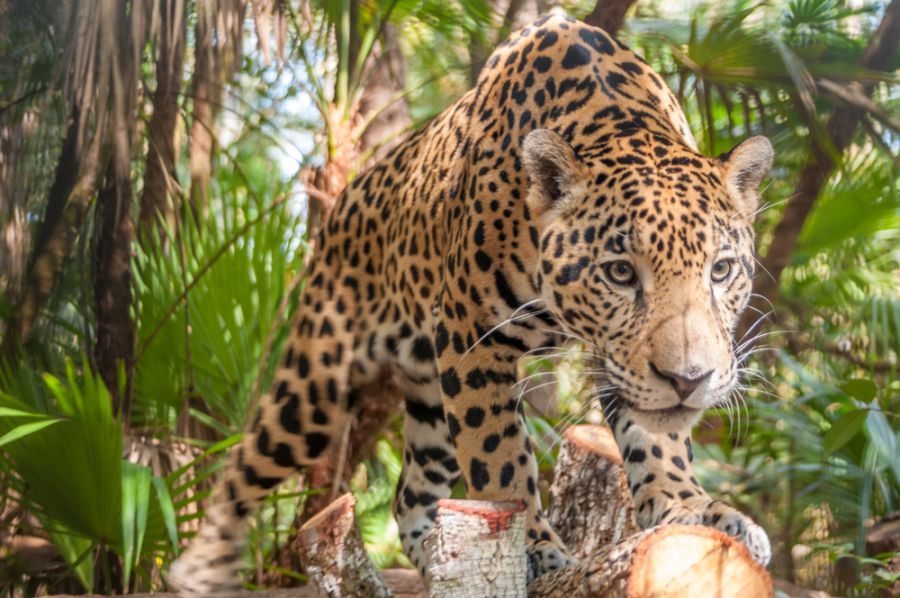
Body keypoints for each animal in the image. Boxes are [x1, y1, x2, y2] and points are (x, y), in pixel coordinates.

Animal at [168, 13, 773, 595]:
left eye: (720, 271)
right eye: (621, 273)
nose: (688, 380)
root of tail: (347, 196)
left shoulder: (615, 363)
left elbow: (658, 437)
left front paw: (695, 511)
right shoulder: (471, 335)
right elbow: (498, 459)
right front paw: (534, 551)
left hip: (429, 394)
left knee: (409, 494)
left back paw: (439, 561)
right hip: (315, 383)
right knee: (245, 463)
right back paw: (199, 570)